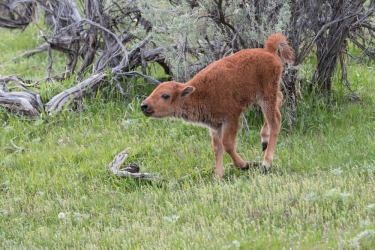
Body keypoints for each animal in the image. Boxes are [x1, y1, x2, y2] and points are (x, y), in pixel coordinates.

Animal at [141, 33, 294, 178]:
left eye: (165, 95)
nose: (144, 106)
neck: (196, 93)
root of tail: (268, 51)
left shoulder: (231, 118)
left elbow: (227, 144)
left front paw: (244, 165)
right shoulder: (214, 126)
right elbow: (217, 148)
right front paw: (218, 175)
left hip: (266, 97)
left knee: (275, 121)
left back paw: (265, 163)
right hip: (263, 96)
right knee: (279, 99)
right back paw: (264, 141)